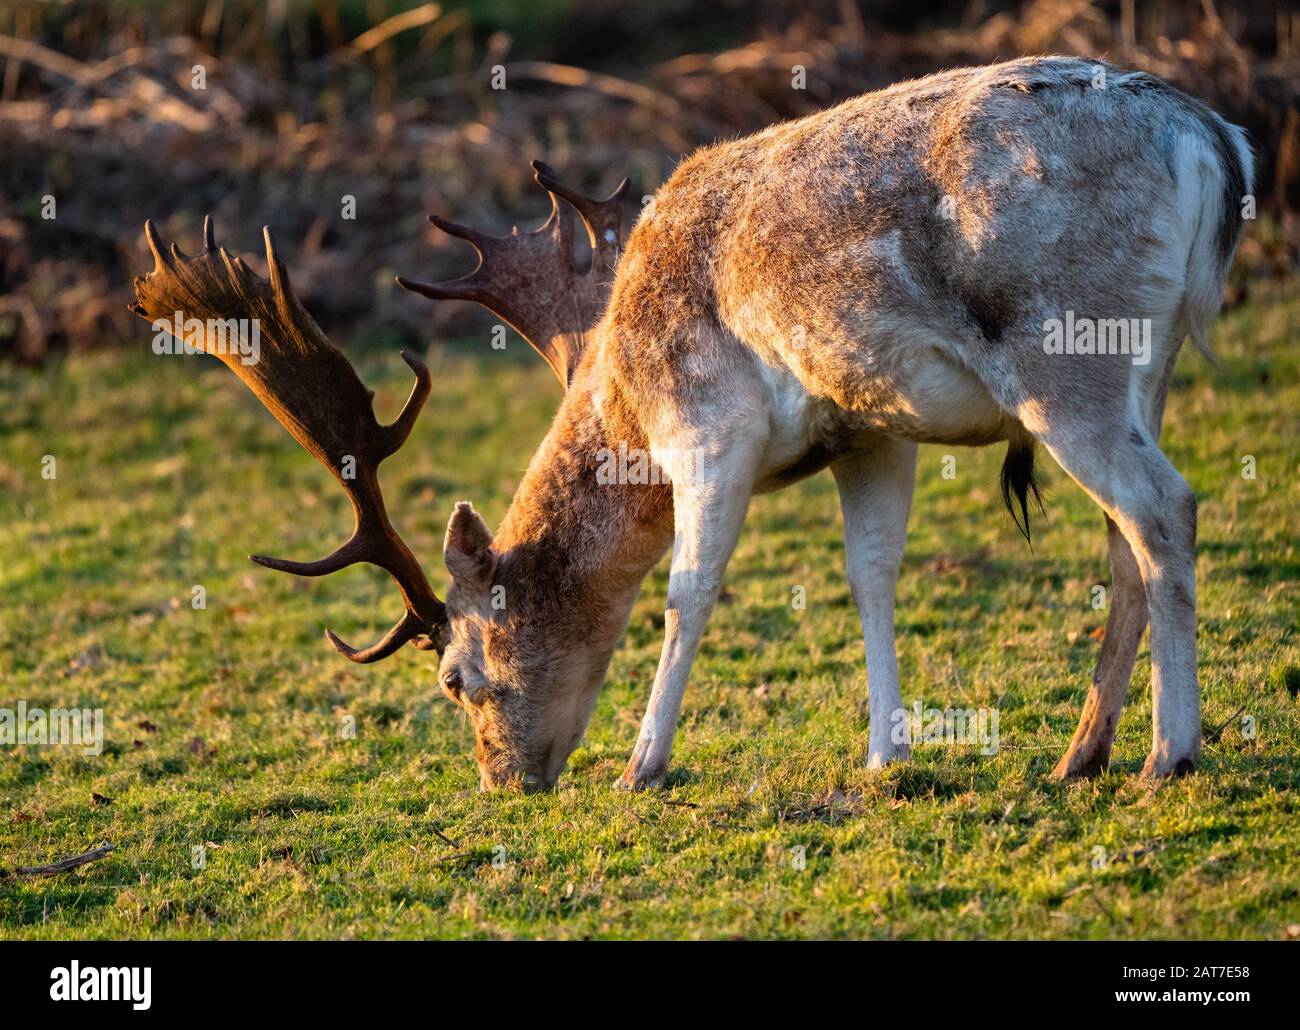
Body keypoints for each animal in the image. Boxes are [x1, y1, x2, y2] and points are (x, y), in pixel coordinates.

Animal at [131, 57, 1251, 792]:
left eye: (456, 678)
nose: (505, 781)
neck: (624, 392)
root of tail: (1217, 145)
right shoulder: (871, 431)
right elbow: (872, 575)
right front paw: (885, 755)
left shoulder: (709, 429)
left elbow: (685, 592)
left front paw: (643, 762)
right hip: (1141, 371)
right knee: (1123, 537)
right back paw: (1082, 751)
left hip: (1065, 356)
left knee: (1167, 507)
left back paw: (1169, 752)